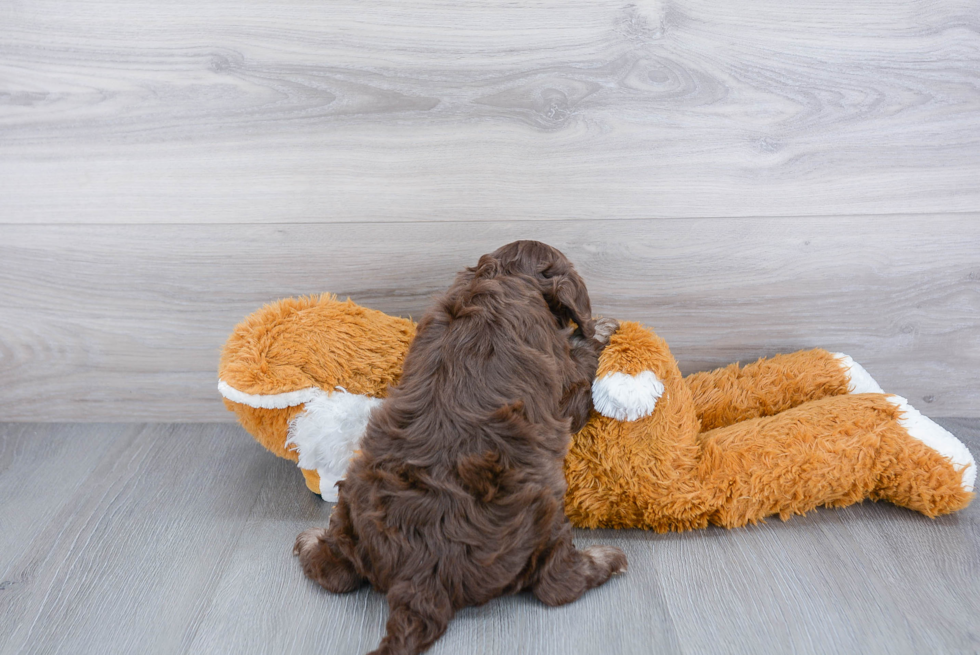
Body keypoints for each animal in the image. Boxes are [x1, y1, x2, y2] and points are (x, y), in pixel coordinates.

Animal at [292, 241, 628, 655]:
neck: (502, 276)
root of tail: (422, 575)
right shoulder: (566, 395)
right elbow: (581, 361)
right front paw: (601, 330)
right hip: (543, 509)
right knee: (555, 584)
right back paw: (607, 559)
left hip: (352, 499)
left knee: (335, 572)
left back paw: (309, 540)